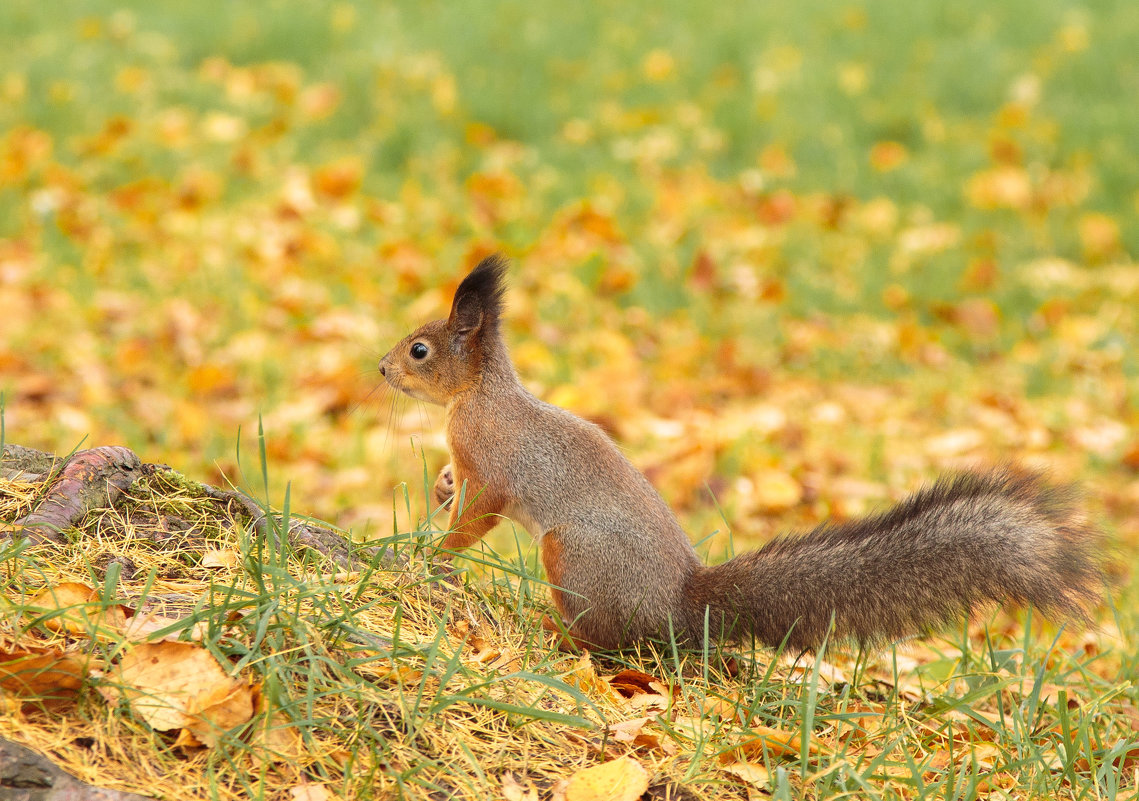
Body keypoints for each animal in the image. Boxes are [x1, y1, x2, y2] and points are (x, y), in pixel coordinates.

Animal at [380, 255, 1102, 651]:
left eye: (420, 349)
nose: (381, 369)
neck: (478, 394)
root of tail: (681, 607)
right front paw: (439, 489)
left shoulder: (494, 463)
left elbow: (477, 515)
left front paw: (432, 551)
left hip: (573, 555)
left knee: (612, 643)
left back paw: (559, 632)